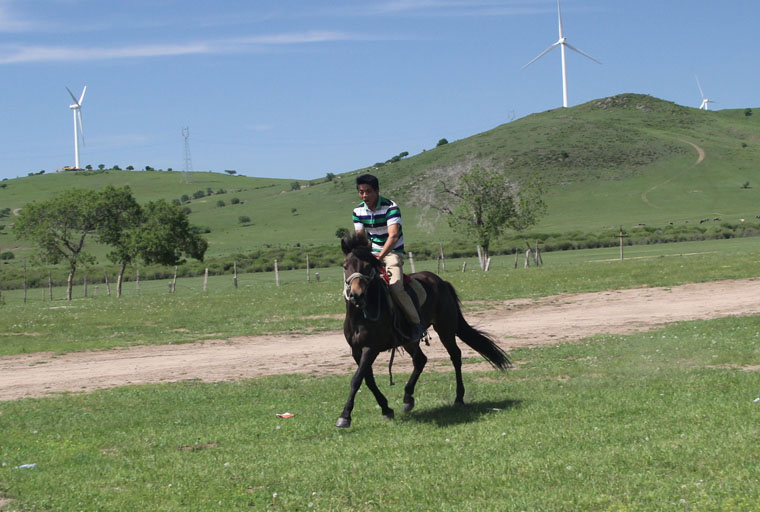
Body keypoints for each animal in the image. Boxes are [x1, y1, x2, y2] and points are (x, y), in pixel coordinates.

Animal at [336, 235, 510, 428]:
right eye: (345, 266)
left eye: (368, 266)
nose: (356, 295)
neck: (362, 314)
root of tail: (441, 281)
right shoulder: (356, 350)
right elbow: (368, 380)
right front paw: (386, 409)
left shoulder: (371, 348)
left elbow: (356, 379)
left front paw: (345, 416)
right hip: (410, 340)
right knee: (420, 360)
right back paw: (407, 398)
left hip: (445, 328)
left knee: (455, 356)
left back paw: (458, 398)